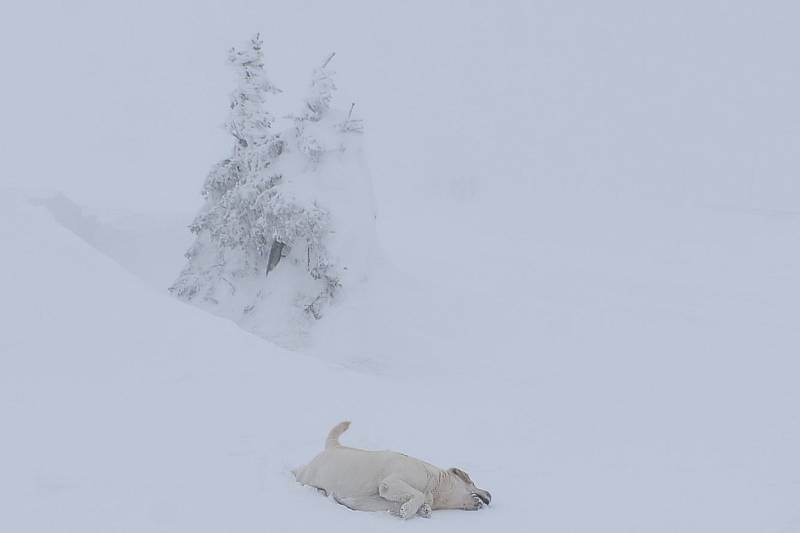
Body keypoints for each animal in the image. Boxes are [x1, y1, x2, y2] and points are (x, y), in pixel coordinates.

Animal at [290, 422, 490, 516]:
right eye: (472, 481)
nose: (490, 494)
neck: (435, 485)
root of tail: (334, 446)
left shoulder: (383, 501)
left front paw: (423, 509)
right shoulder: (391, 482)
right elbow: (417, 494)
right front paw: (410, 510)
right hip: (308, 475)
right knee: (298, 471)